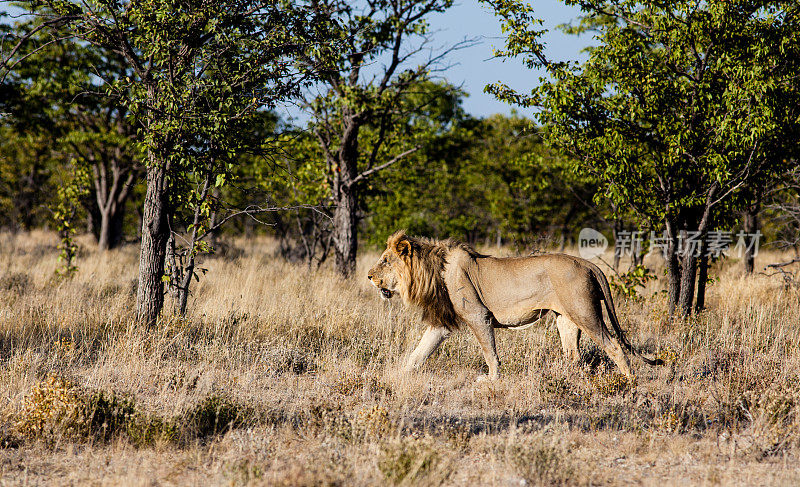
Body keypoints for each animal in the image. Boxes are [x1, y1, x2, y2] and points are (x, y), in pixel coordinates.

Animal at [368, 231, 664, 384]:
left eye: (385, 260)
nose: (369, 276)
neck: (432, 270)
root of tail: (587, 263)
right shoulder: (441, 324)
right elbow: (418, 353)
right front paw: (397, 375)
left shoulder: (479, 315)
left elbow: (489, 353)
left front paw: (491, 380)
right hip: (565, 318)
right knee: (574, 355)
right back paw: (565, 380)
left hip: (585, 312)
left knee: (613, 346)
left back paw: (628, 382)